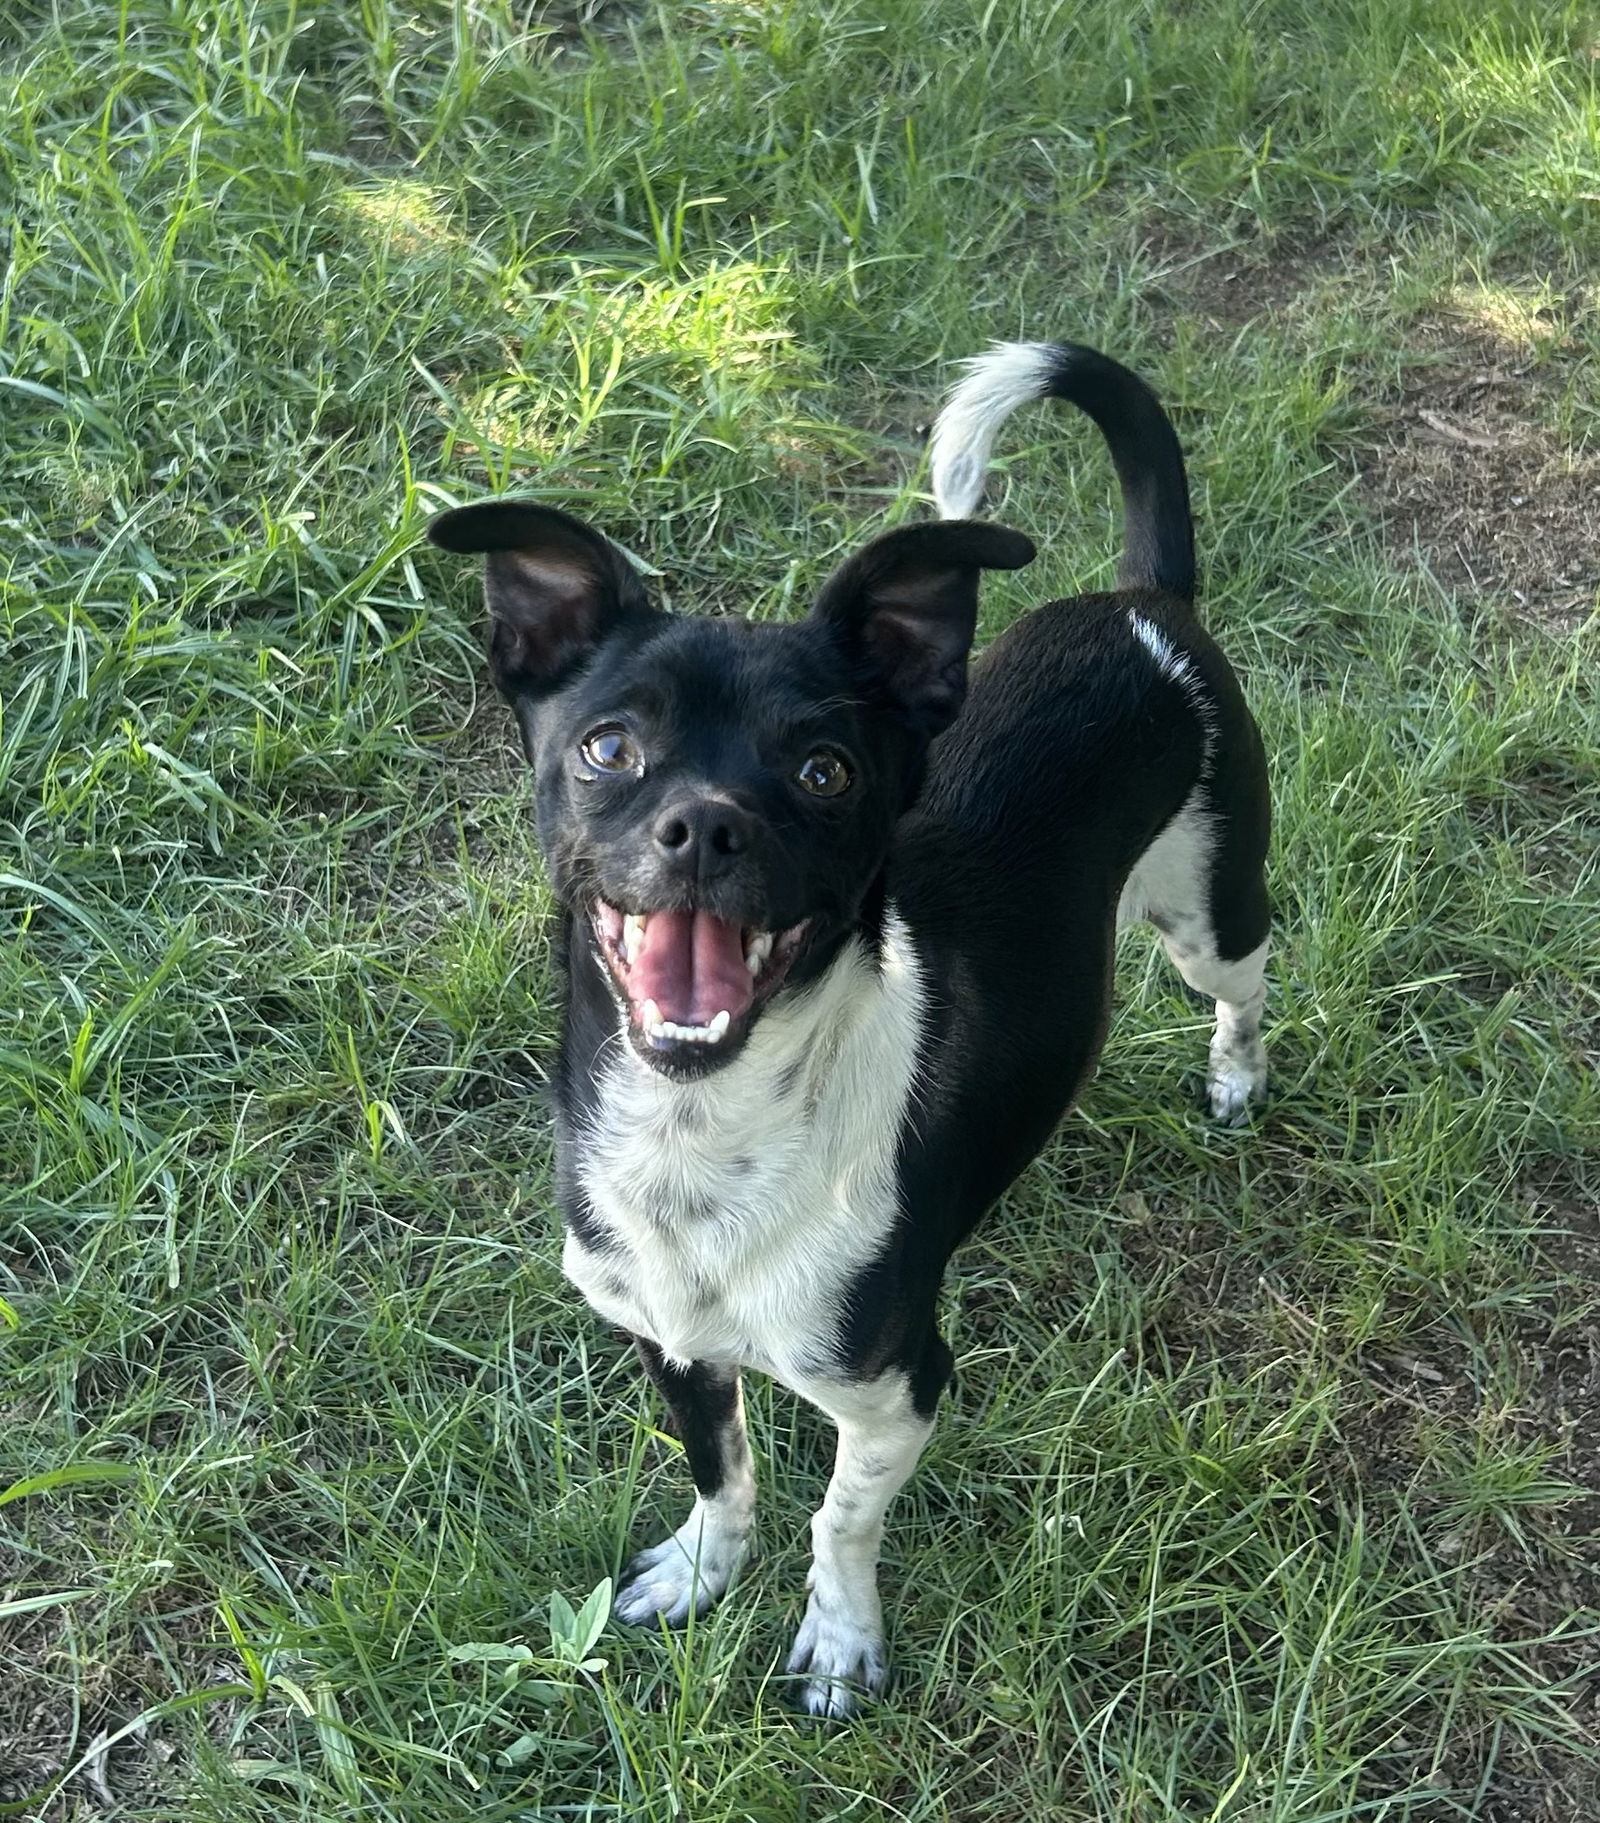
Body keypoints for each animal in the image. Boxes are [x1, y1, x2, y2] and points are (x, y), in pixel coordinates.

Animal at [428, 344, 1275, 1720]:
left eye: (824, 770)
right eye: (609, 747)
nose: (705, 826)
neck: (697, 1135)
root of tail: (1141, 604)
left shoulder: (897, 1393)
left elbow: (839, 1516)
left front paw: (836, 1637)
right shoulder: (671, 1341)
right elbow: (721, 1472)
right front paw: (703, 1569)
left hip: (1213, 905)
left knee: (1243, 983)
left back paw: (1236, 1077)